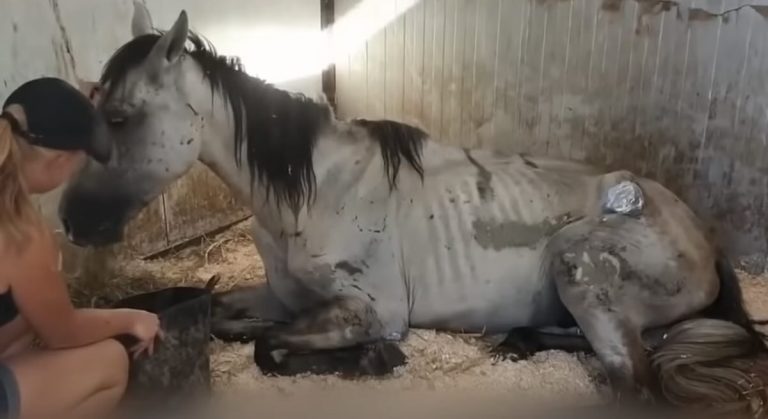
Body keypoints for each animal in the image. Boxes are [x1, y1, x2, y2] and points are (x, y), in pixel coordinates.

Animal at [58, 3, 768, 416]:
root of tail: (700, 235)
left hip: (579, 262)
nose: (70, 222)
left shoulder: (367, 310)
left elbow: (269, 347)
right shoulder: (282, 297)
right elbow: (226, 320)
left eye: (118, 117)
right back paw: (521, 339)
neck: (314, 190)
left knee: (631, 377)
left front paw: (373, 360)